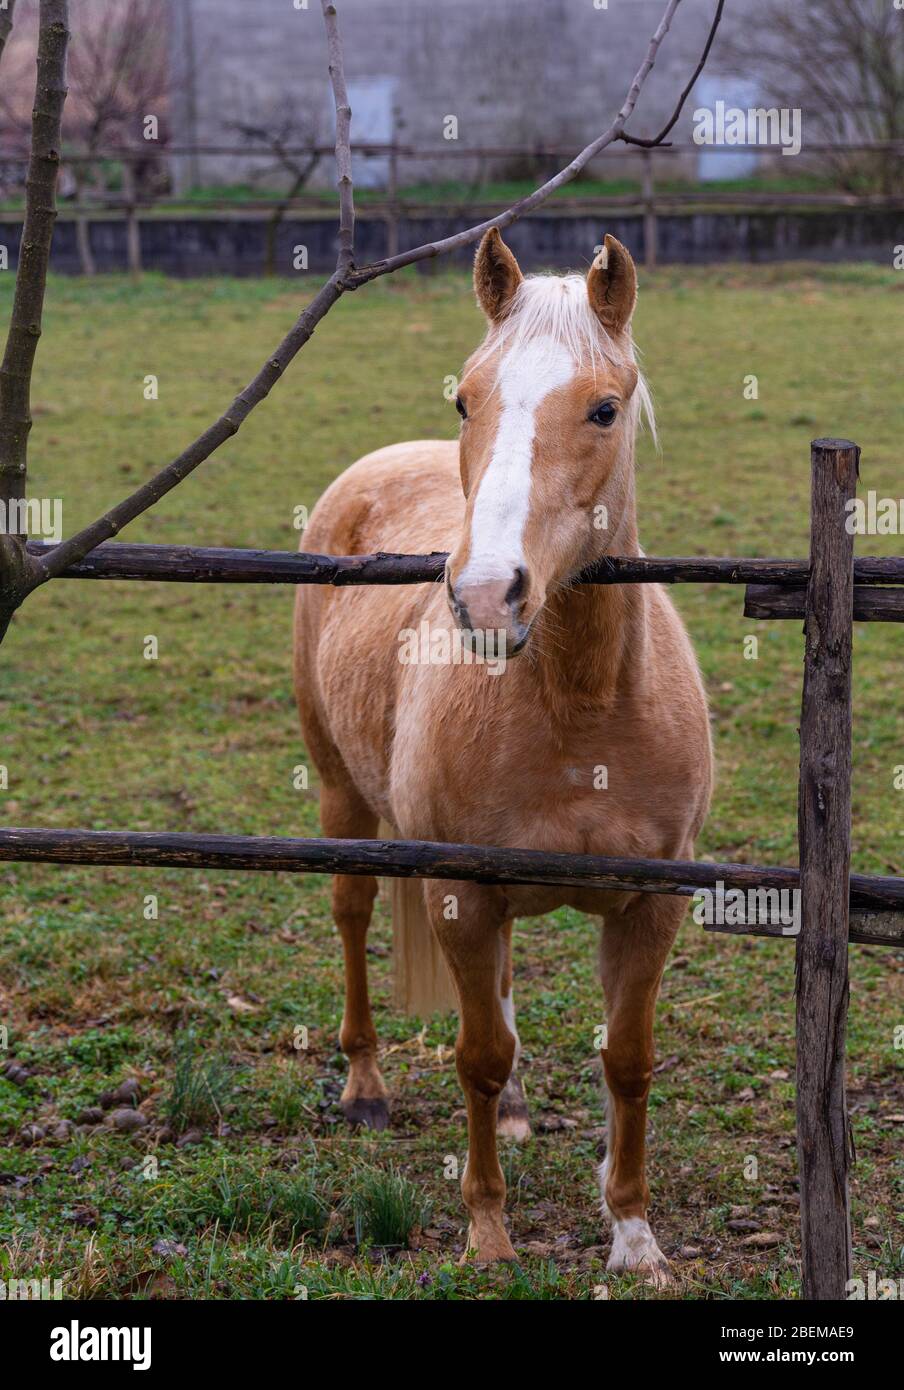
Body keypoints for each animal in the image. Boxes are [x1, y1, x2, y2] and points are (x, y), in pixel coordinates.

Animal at [290, 227, 712, 1278]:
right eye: (466, 401)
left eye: (603, 408)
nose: (487, 596)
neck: (582, 701)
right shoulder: (460, 893)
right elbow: (475, 1058)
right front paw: (487, 1234)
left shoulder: (653, 904)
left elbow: (628, 1062)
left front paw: (635, 1239)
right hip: (341, 796)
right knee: (353, 915)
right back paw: (365, 1088)